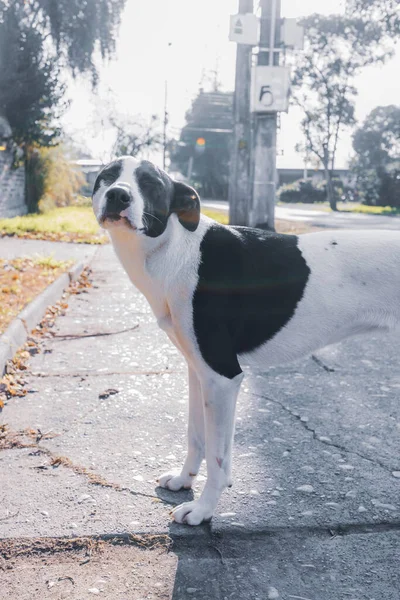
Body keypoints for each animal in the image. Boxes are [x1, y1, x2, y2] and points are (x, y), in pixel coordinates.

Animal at [93, 156, 400, 524]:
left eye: (151, 183)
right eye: (107, 176)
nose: (118, 195)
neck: (176, 248)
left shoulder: (222, 378)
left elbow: (218, 457)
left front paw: (203, 510)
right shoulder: (199, 373)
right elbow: (196, 437)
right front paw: (184, 480)